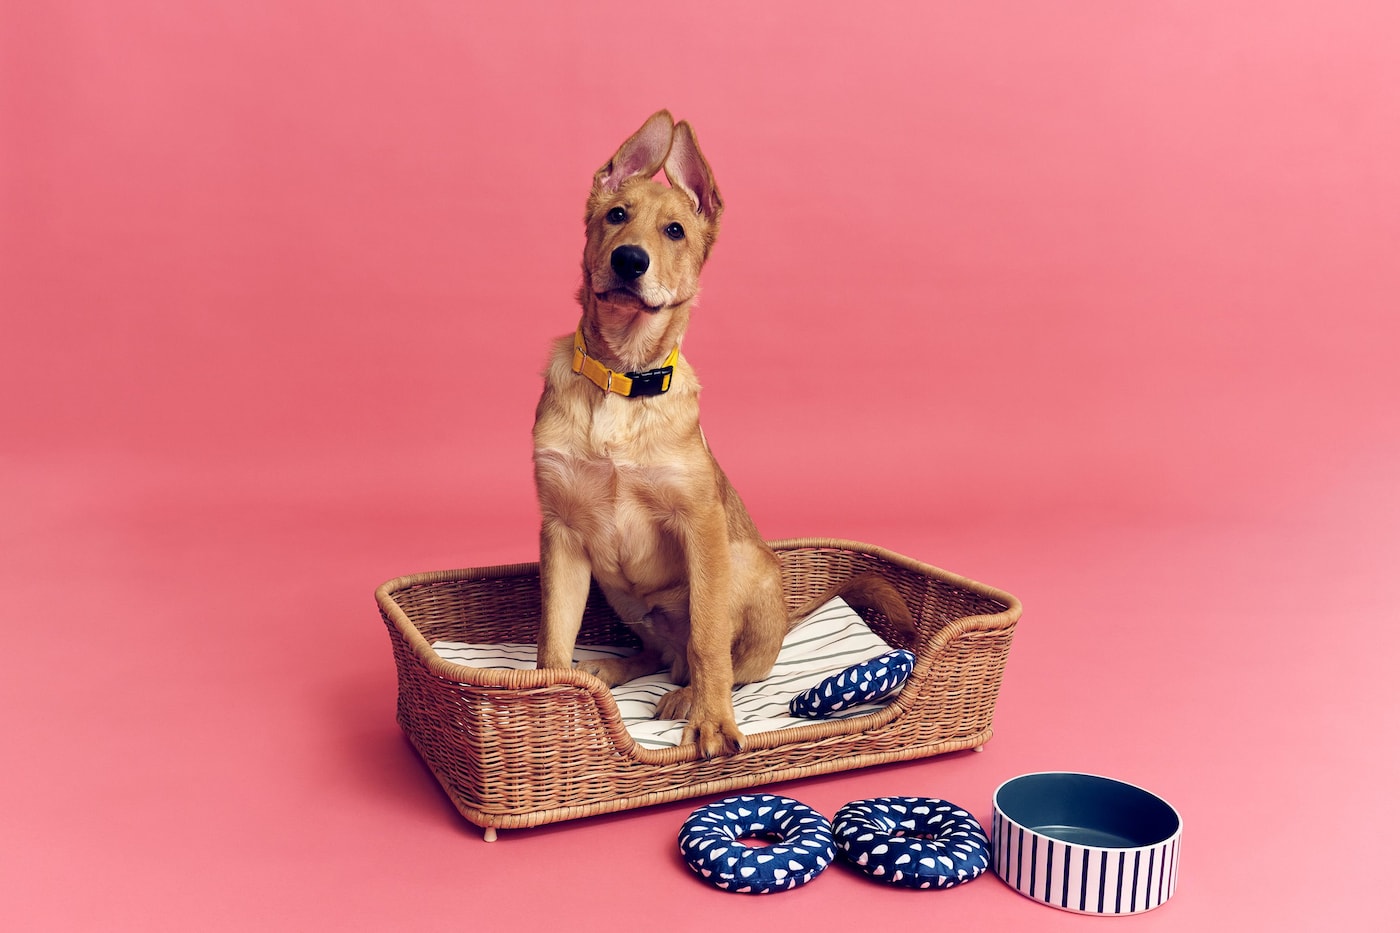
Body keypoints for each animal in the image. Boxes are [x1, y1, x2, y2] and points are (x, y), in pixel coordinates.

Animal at [529, 112, 912, 762]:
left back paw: (688, 695)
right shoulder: (561, 532)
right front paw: (554, 700)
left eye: (676, 231)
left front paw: (710, 721)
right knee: (661, 652)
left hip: (743, 564)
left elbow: (709, 641)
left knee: (717, 661)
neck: (623, 381)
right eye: (616, 214)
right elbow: (553, 637)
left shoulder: (699, 523)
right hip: (621, 591)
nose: (630, 261)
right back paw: (609, 669)